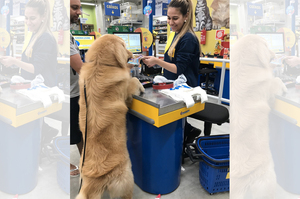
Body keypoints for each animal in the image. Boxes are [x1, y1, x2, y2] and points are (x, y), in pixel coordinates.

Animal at [76, 34, 144, 199]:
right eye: (124, 45)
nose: (132, 54)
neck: (100, 64)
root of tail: (93, 181)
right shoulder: (127, 92)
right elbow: (134, 80)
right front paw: (142, 86)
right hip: (126, 178)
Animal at [231, 34, 288, 199]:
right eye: (266, 45)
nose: (276, 55)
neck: (245, 64)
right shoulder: (269, 89)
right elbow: (276, 80)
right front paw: (284, 86)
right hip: (268, 178)